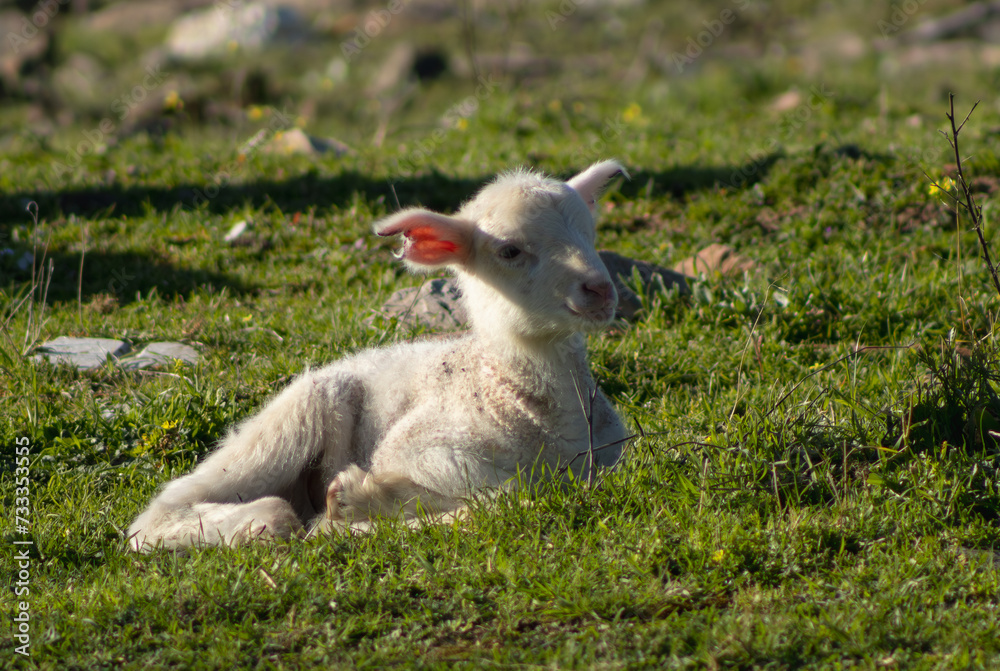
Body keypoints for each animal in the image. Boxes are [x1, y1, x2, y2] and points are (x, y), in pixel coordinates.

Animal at [127, 160, 630, 551]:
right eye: (509, 250)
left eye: (590, 234)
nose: (600, 290)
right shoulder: (416, 446)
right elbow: (504, 493)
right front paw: (360, 502)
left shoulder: (611, 457)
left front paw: (358, 508)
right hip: (293, 420)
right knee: (161, 514)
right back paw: (265, 521)